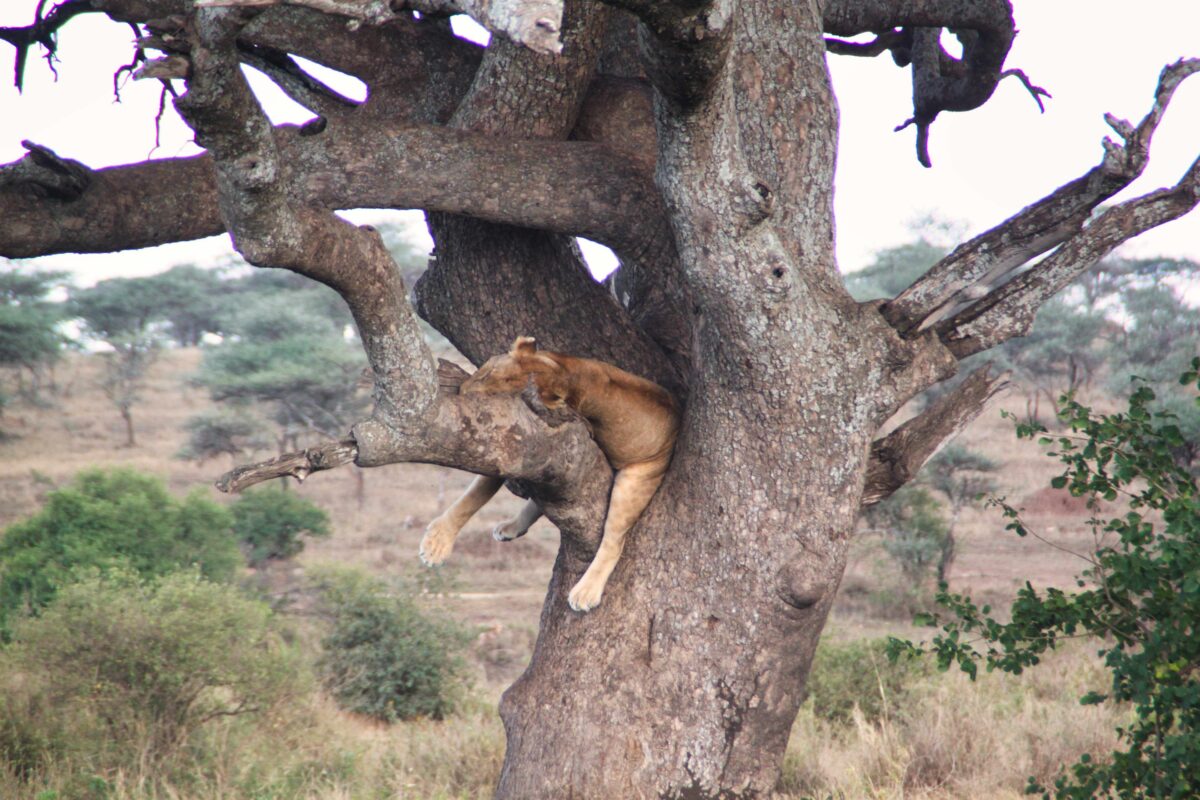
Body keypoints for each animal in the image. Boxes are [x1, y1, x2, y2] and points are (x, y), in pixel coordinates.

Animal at [419, 336, 679, 612]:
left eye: (500, 397)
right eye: (487, 372)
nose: (463, 393)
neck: (564, 370)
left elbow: (474, 496)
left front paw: (434, 547)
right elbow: (472, 498)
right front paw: (438, 540)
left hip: (636, 480)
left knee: (614, 539)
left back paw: (586, 592)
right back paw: (511, 527)